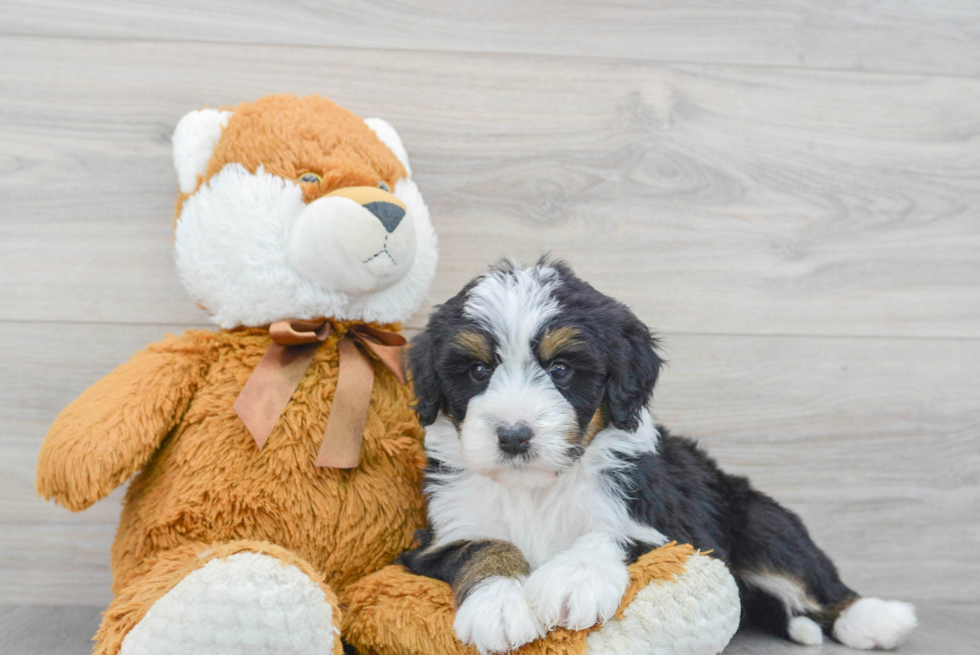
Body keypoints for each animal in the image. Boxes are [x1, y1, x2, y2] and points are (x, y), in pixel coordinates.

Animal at [400, 258, 920, 652]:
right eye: (478, 370)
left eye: (561, 369)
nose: (513, 436)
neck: (538, 490)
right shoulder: (434, 540)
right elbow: (482, 546)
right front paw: (499, 606)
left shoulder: (676, 530)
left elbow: (613, 534)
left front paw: (574, 578)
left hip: (760, 520)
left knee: (814, 578)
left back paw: (877, 618)